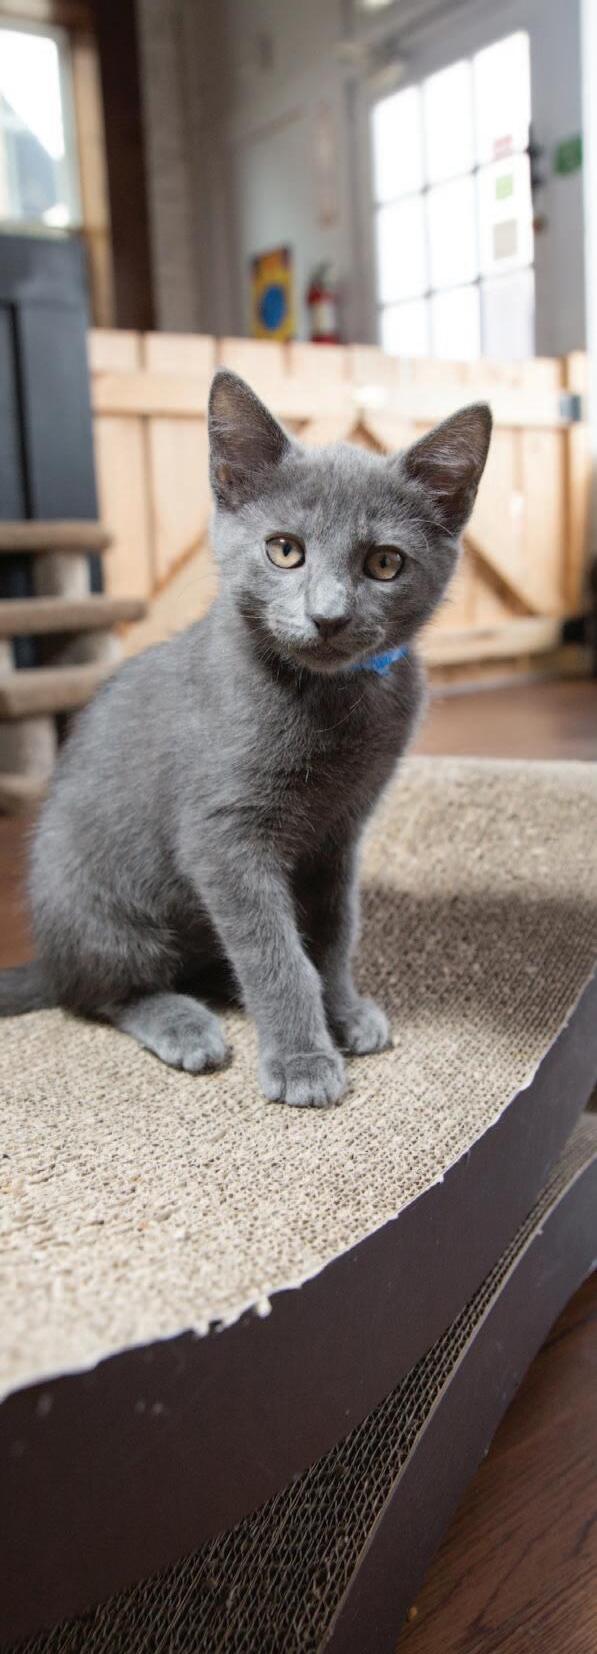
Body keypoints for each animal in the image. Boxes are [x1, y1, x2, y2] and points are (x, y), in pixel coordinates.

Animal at [0, 371, 491, 1107]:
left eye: (384, 563)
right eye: (284, 550)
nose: (327, 616)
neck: (331, 701)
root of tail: (48, 956)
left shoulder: (338, 834)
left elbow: (331, 934)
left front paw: (342, 1012)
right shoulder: (224, 836)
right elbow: (274, 953)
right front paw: (302, 1058)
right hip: (106, 910)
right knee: (101, 994)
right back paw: (182, 1023)